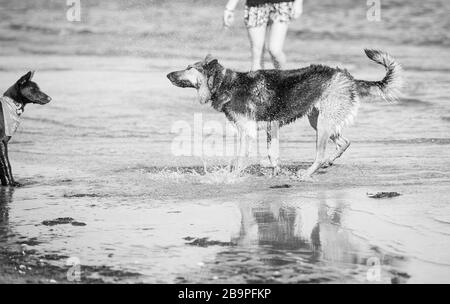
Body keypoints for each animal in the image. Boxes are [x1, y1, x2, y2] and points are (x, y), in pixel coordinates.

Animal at [167, 50, 402, 180]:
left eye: (188, 67)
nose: (168, 74)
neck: (226, 83)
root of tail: (348, 77)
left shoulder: (248, 132)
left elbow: (240, 158)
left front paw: (231, 177)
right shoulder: (271, 127)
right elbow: (273, 155)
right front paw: (275, 173)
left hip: (323, 124)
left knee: (320, 154)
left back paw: (308, 173)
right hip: (317, 120)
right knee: (344, 142)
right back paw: (328, 163)